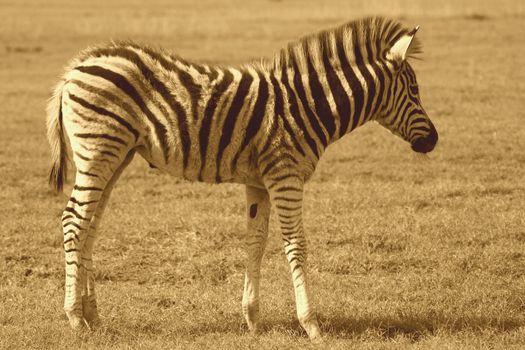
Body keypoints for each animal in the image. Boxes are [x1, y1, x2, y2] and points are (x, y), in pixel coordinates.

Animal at [46, 15, 438, 340]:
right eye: (414, 91)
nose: (433, 140)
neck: (309, 107)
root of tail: (75, 69)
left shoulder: (258, 182)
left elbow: (256, 243)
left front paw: (252, 319)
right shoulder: (285, 177)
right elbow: (296, 244)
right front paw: (311, 324)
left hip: (115, 156)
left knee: (90, 225)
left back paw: (94, 316)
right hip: (99, 151)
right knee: (73, 221)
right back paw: (75, 318)